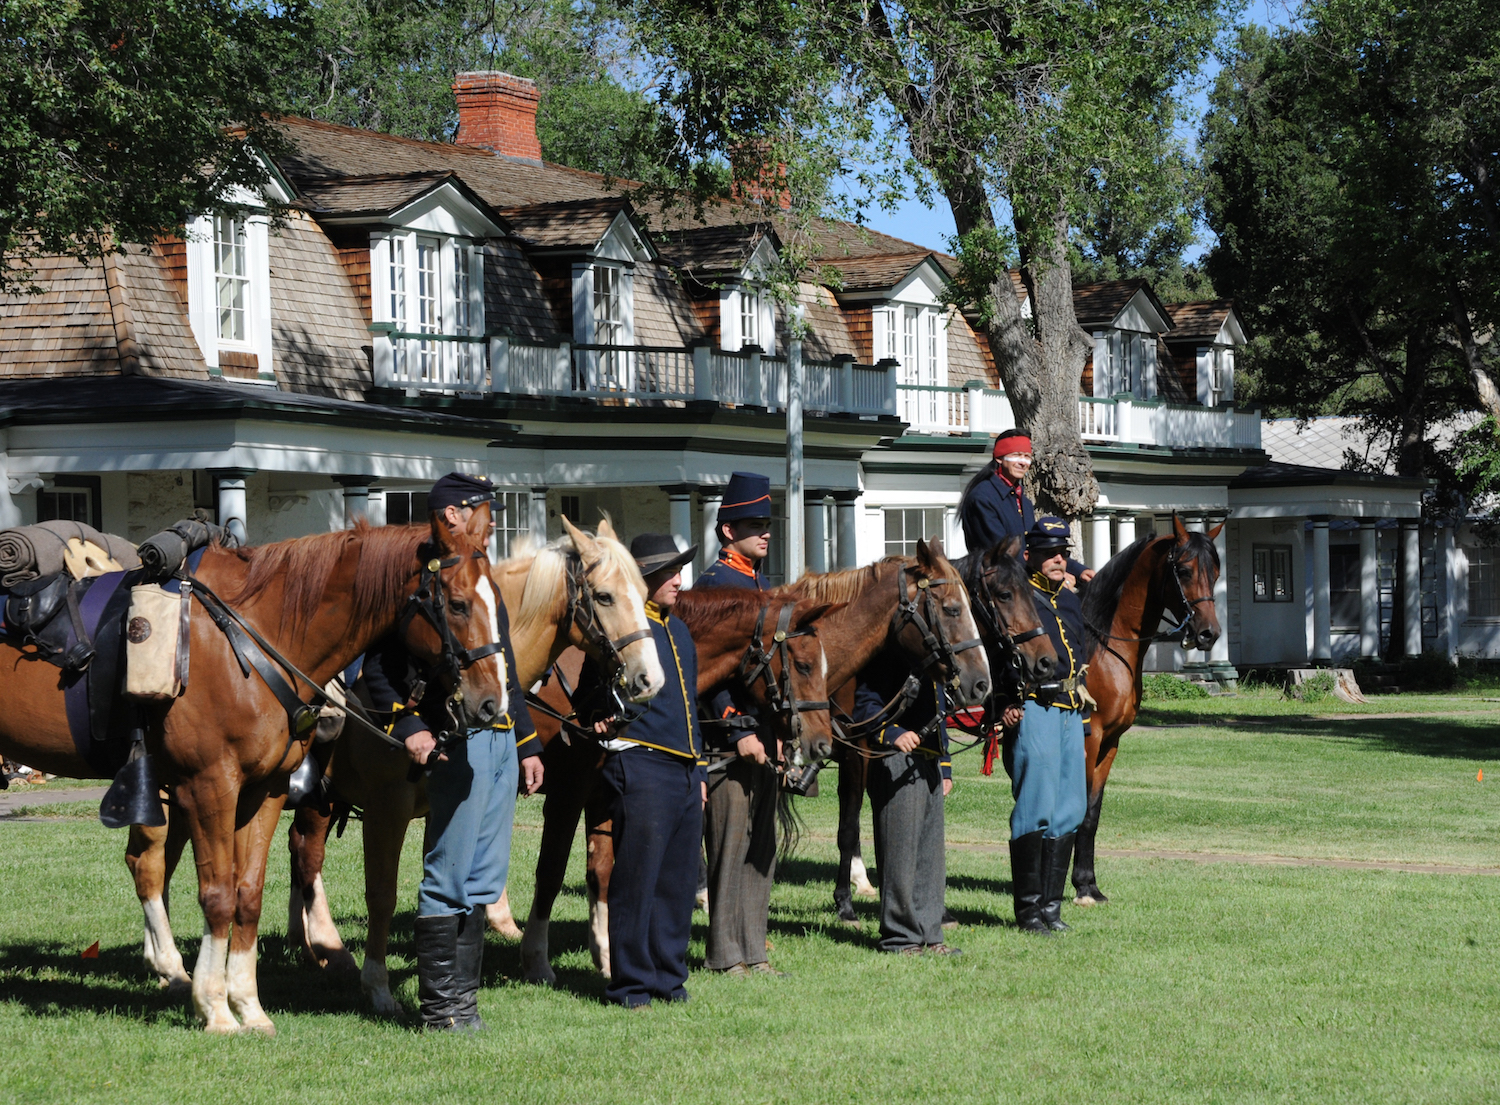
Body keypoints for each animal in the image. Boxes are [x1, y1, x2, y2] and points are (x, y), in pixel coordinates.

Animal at [10, 512, 504, 1031]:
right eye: (457, 604)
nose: (491, 702)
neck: (250, 641)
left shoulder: (265, 791)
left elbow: (248, 893)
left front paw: (247, 1005)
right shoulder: (211, 788)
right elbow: (220, 895)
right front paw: (215, 1007)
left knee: (151, 865)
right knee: (150, 866)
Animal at [519, 587, 846, 983]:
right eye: (803, 665)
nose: (823, 743)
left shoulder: (604, 794)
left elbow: (603, 872)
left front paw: (609, 958)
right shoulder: (568, 792)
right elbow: (551, 871)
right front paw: (537, 960)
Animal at [1074, 515, 1224, 905]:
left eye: (1216, 571)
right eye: (1184, 570)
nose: (1209, 634)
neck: (1103, 647)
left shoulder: (1109, 743)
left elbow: (1091, 814)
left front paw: (1087, 885)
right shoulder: (1087, 739)